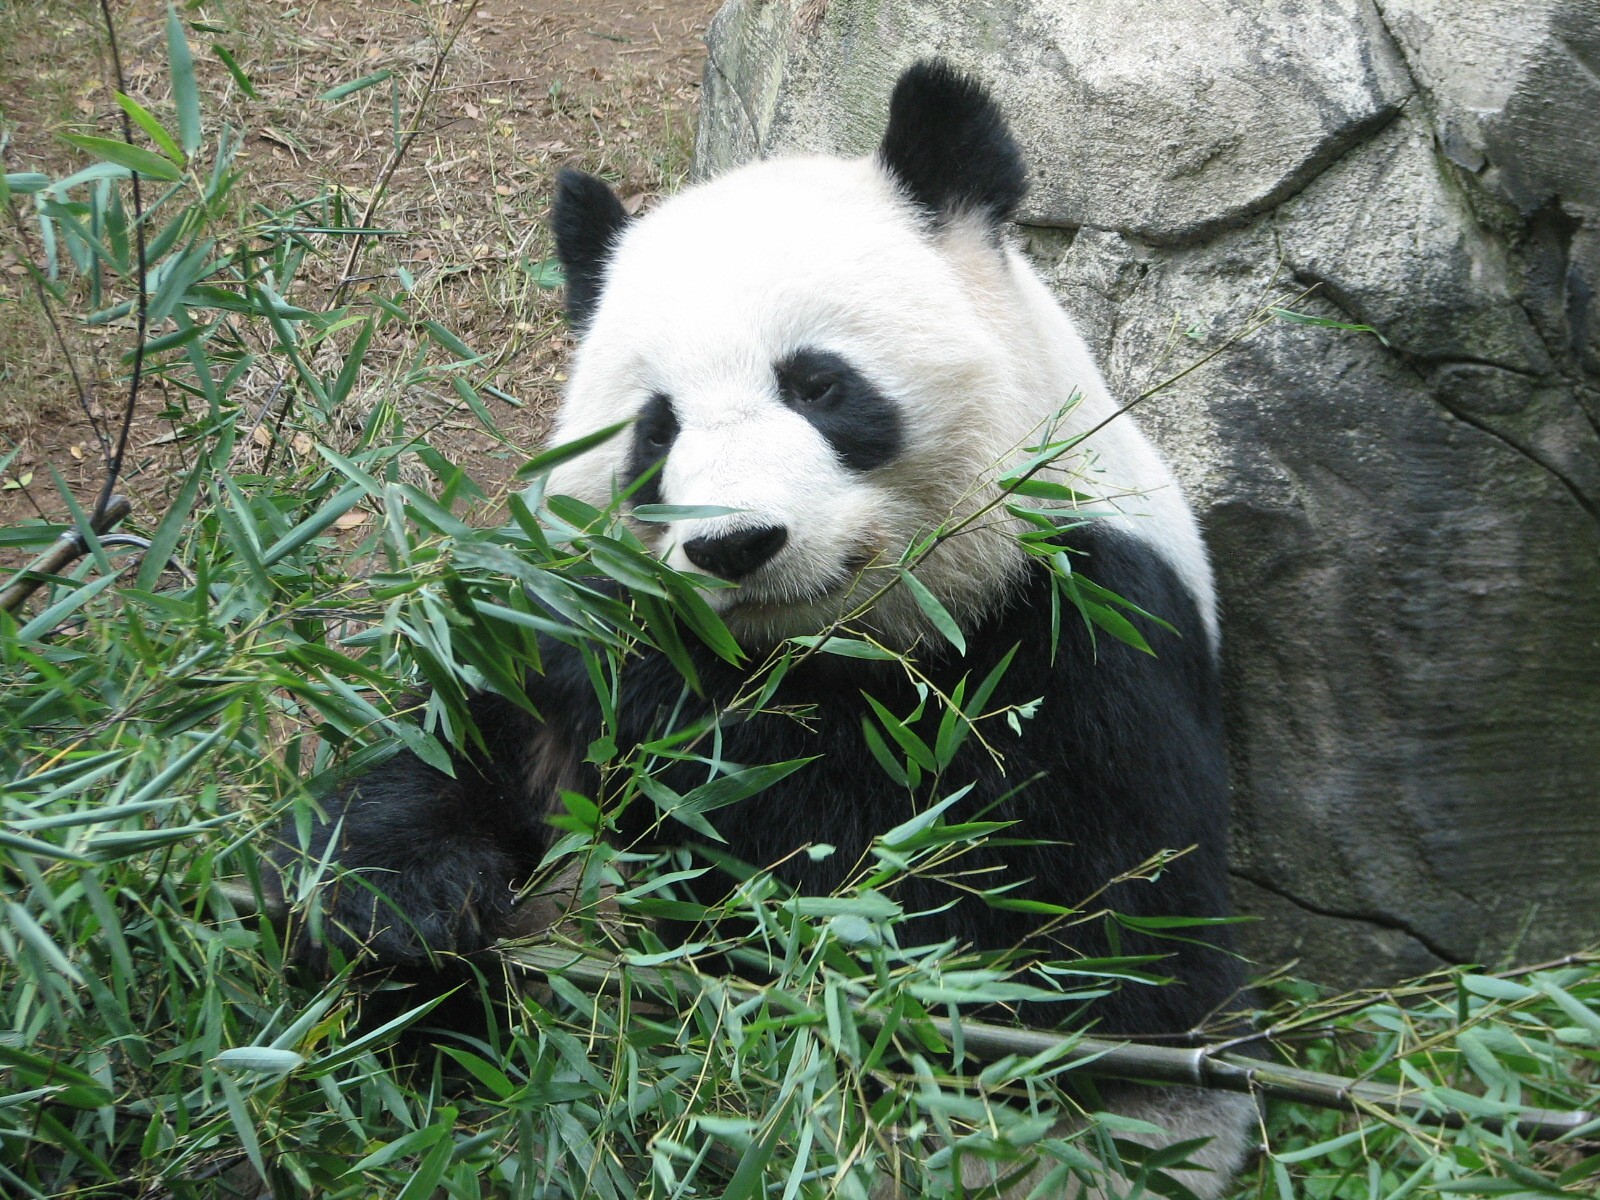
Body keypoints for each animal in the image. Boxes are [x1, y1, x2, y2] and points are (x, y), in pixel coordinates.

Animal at [297, 60, 1255, 1197]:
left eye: (818, 384)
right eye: (656, 430)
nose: (736, 544)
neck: (815, 645)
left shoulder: (1083, 633)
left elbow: (1028, 939)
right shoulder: (547, 622)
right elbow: (448, 751)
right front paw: (397, 907)